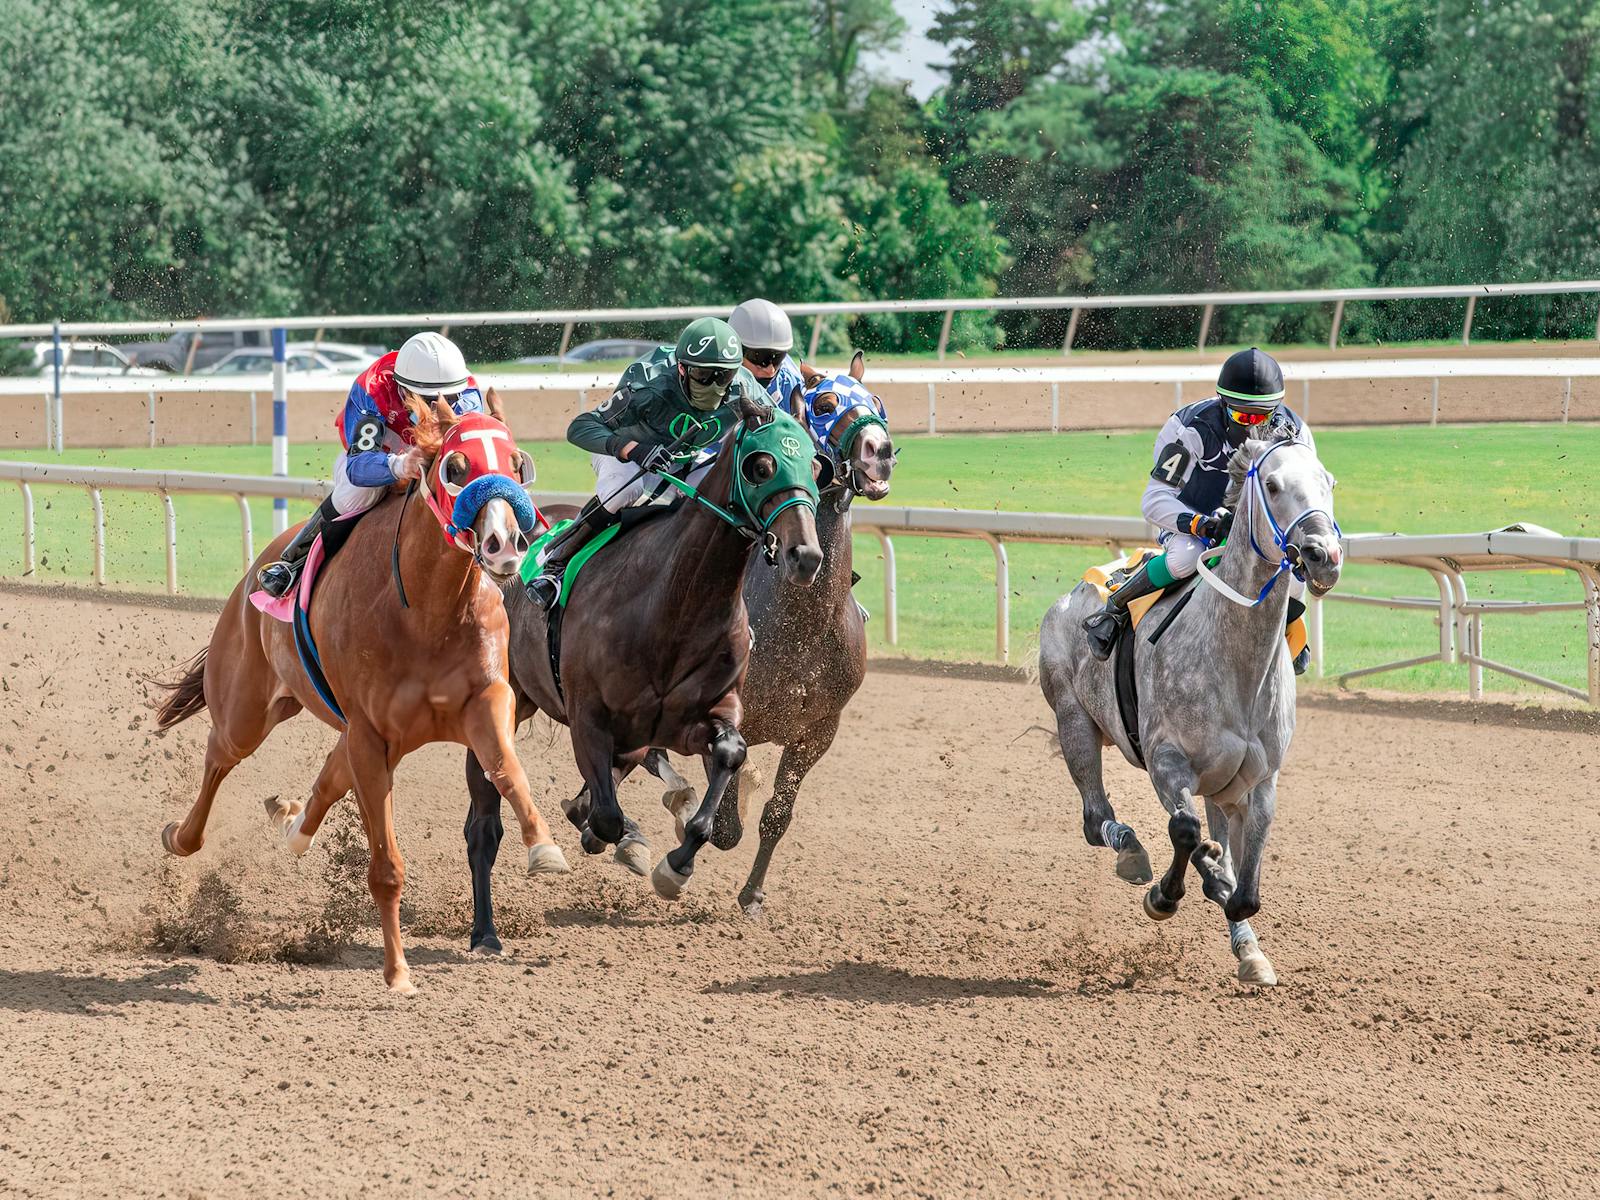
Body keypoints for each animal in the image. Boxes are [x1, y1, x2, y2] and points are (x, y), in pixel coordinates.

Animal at [151, 402, 569, 995]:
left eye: (516, 463)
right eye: (455, 467)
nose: (506, 545)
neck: (426, 609)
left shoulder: (485, 702)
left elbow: (509, 771)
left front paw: (545, 847)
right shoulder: (372, 736)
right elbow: (387, 867)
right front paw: (397, 972)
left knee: (327, 776)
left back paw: (291, 827)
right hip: (246, 707)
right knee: (219, 756)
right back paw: (182, 837)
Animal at [460, 396, 824, 953]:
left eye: (815, 465)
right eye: (761, 465)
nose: (804, 556)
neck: (674, 603)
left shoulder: (693, 719)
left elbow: (728, 754)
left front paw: (674, 867)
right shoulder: (590, 718)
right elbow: (607, 816)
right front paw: (616, 835)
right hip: (510, 702)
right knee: (484, 822)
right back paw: (486, 932)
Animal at [1036, 435, 1341, 985]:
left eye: (1327, 481)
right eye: (1271, 484)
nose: (1322, 554)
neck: (1235, 663)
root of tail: (1075, 593)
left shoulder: (1258, 781)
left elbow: (1245, 890)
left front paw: (1240, 925)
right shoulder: (1166, 759)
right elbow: (1185, 831)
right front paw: (1165, 894)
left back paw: (1243, 938)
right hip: (1073, 718)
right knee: (1096, 820)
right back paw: (1132, 851)